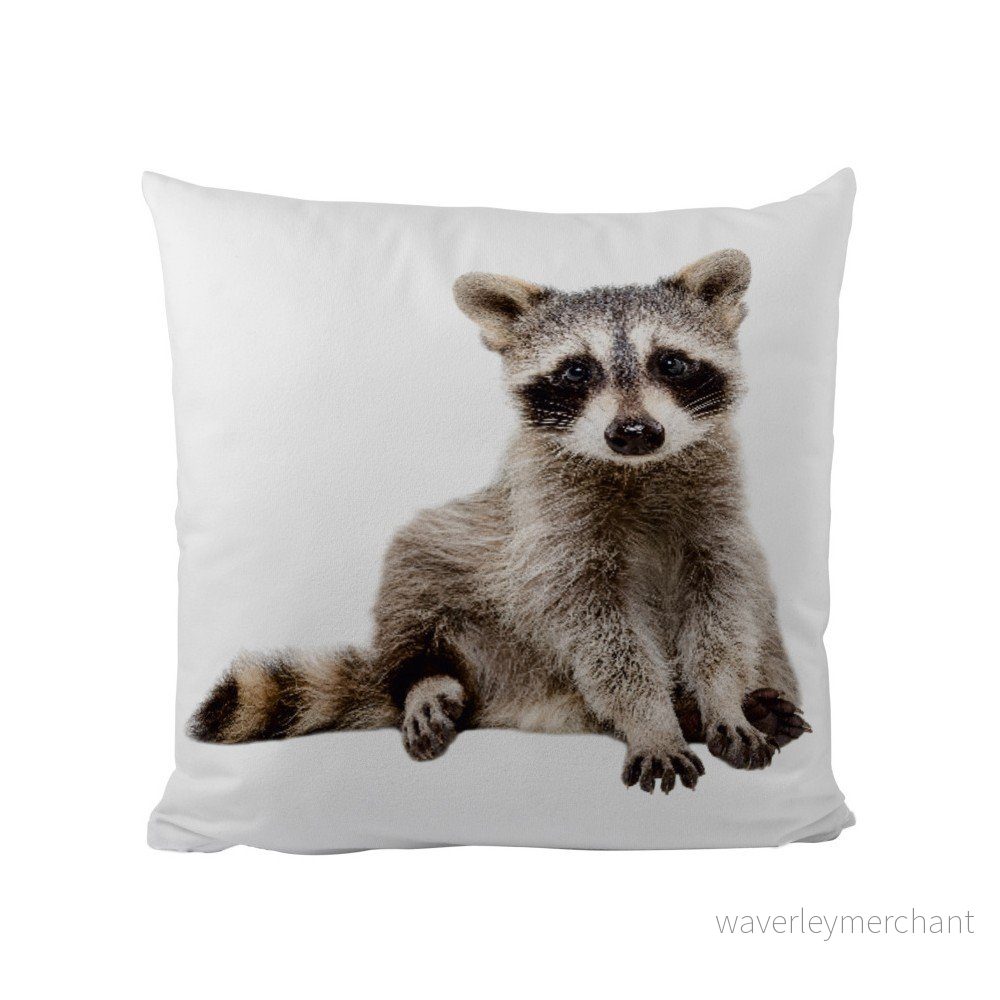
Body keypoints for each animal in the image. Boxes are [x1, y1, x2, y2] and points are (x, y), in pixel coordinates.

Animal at [189, 249, 810, 794]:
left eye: (672, 362)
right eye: (576, 370)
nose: (634, 432)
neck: (638, 471)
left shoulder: (717, 521)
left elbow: (725, 609)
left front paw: (722, 699)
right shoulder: (550, 527)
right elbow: (601, 636)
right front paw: (651, 720)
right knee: (415, 566)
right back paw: (428, 680)